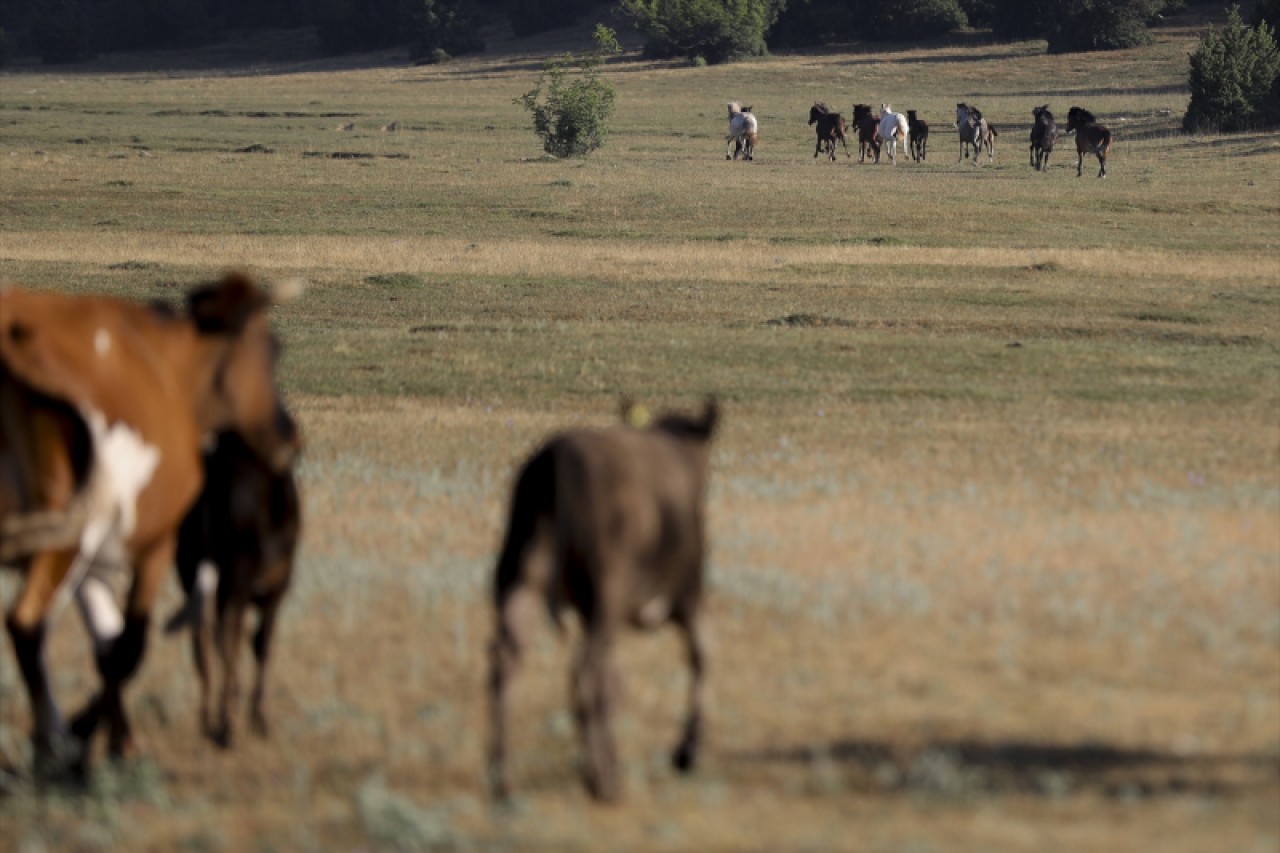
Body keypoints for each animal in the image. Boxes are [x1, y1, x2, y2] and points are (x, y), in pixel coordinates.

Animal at [166, 427, 300, 747]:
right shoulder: (268, 589)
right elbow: (255, 644)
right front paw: (255, 718)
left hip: (198, 575)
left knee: (205, 639)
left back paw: (212, 717)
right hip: (229, 579)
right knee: (224, 639)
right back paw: (226, 724)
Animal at [486, 394, 721, 799]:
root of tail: (556, 460)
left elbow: (618, 679)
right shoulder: (686, 594)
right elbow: (701, 654)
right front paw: (686, 751)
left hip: (519, 583)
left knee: (507, 665)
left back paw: (506, 780)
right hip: (604, 594)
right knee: (584, 673)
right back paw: (603, 781)